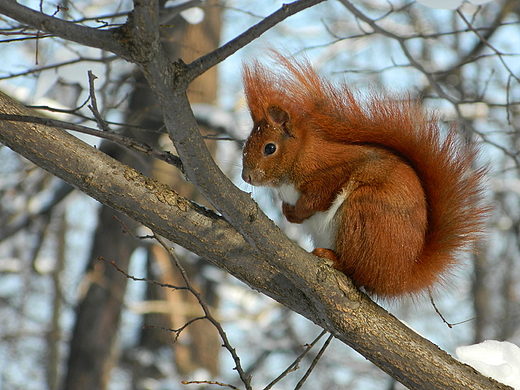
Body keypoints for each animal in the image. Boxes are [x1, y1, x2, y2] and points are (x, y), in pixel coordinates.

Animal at [241, 52, 488, 298]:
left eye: (270, 148)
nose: (246, 177)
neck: (301, 156)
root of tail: (399, 277)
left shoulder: (330, 172)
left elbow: (317, 197)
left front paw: (298, 211)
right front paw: (288, 212)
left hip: (363, 212)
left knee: (357, 271)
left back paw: (333, 259)